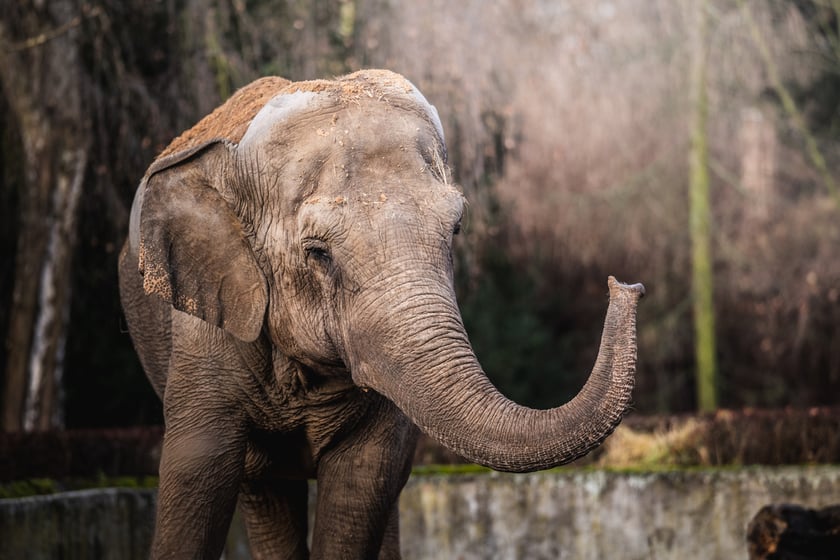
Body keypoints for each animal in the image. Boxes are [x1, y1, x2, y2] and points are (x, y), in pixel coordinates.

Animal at [116, 68, 644, 556]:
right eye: (317, 253)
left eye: (456, 229)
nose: (626, 285)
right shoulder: (203, 339)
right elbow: (196, 477)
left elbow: (363, 484)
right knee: (264, 490)